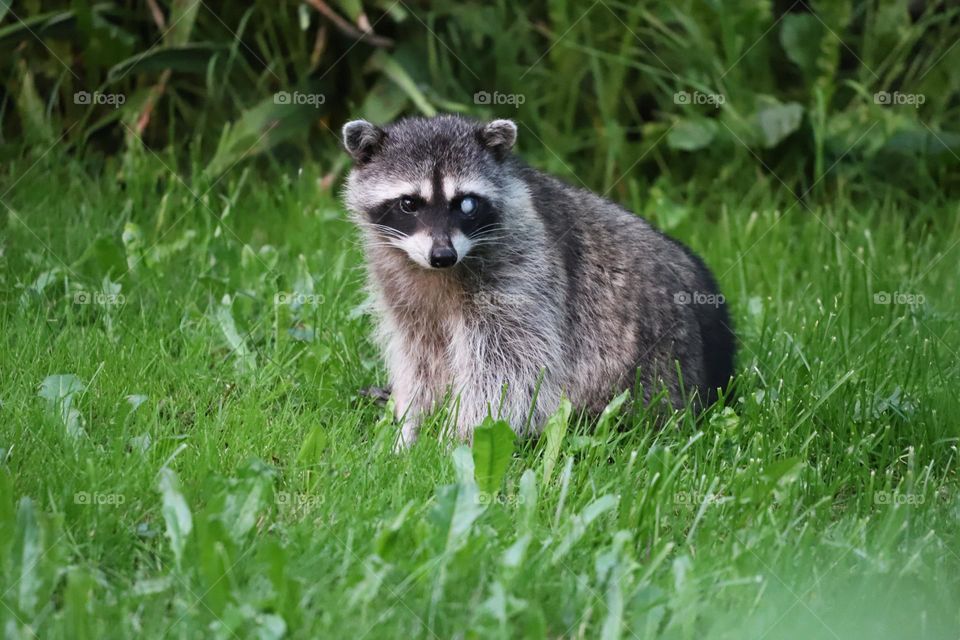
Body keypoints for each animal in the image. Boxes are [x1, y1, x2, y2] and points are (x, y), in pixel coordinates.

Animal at [342, 115, 732, 448]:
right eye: (409, 203)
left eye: (466, 204)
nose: (442, 255)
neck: (437, 273)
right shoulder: (400, 284)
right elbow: (420, 358)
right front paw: (410, 424)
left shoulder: (523, 267)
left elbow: (509, 370)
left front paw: (454, 439)